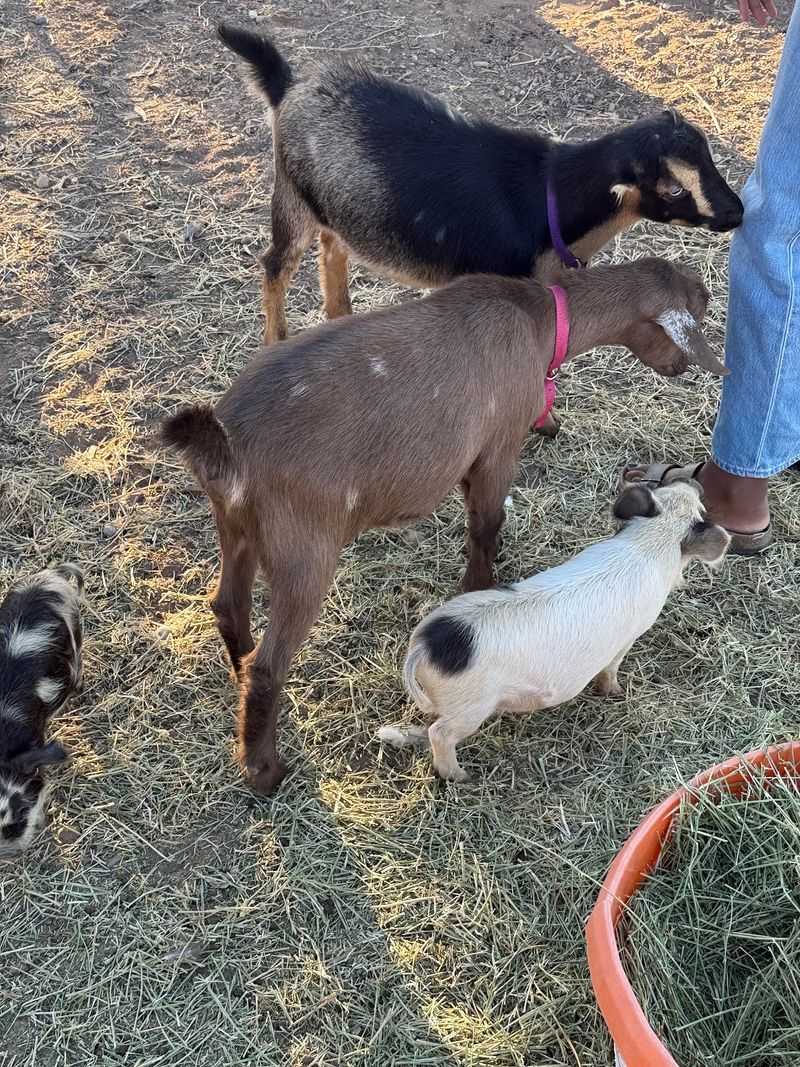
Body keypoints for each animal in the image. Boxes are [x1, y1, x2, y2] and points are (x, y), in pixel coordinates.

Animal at [217, 23, 743, 347]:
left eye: (709, 158)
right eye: (673, 188)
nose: (736, 212)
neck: (548, 198)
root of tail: (289, 85)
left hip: (335, 207)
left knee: (333, 250)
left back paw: (339, 316)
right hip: (291, 197)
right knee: (276, 265)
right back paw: (276, 340)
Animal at [380, 481, 730, 781]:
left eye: (663, 488)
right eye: (702, 511)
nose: (693, 482)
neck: (650, 542)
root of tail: (425, 646)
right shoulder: (630, 635)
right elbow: (612, 667)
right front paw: (615, 692)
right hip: (470, 705)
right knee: (440, 733)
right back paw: (461, 777)